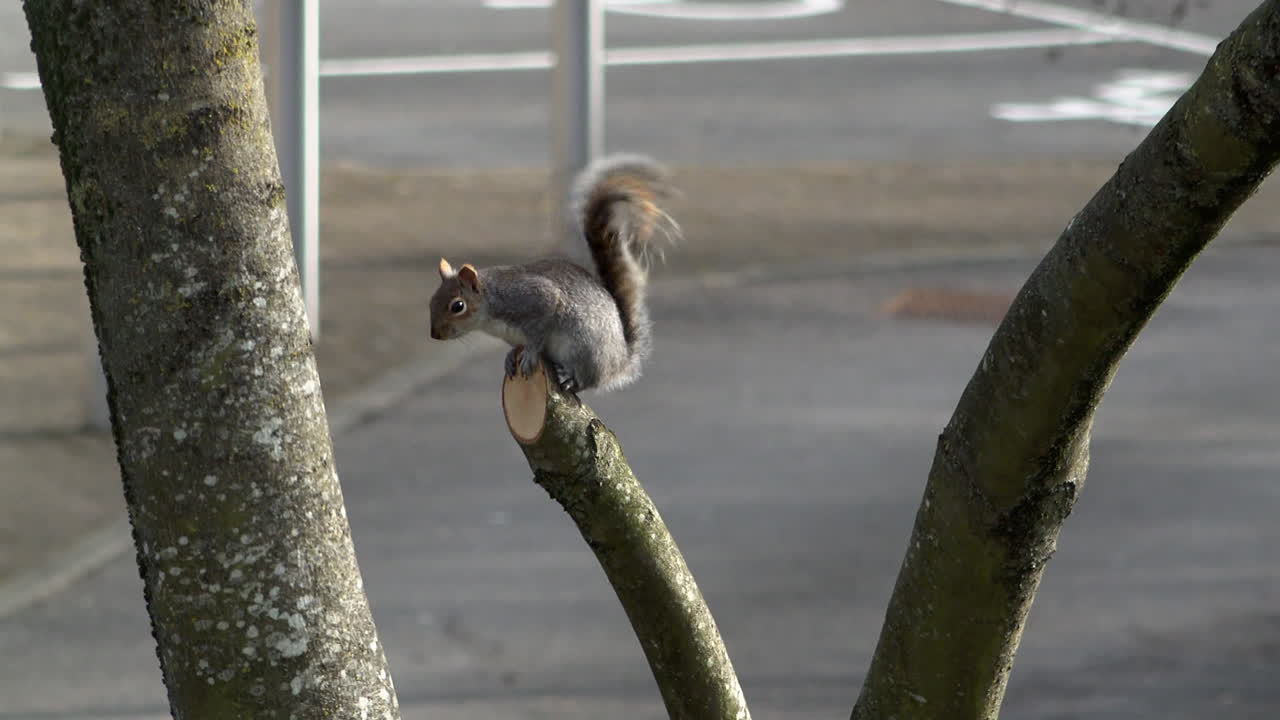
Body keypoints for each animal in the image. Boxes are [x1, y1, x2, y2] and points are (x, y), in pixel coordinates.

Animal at [429, 154, 679, 394]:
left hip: (584, 350)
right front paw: (511, 356)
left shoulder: (534, 298)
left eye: (457, 306)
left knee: (587, 381)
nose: (435, 335)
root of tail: (620, 362)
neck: (492, 305)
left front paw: (529, 354)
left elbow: (539, 330)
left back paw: (570, 378)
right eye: (431, 301)